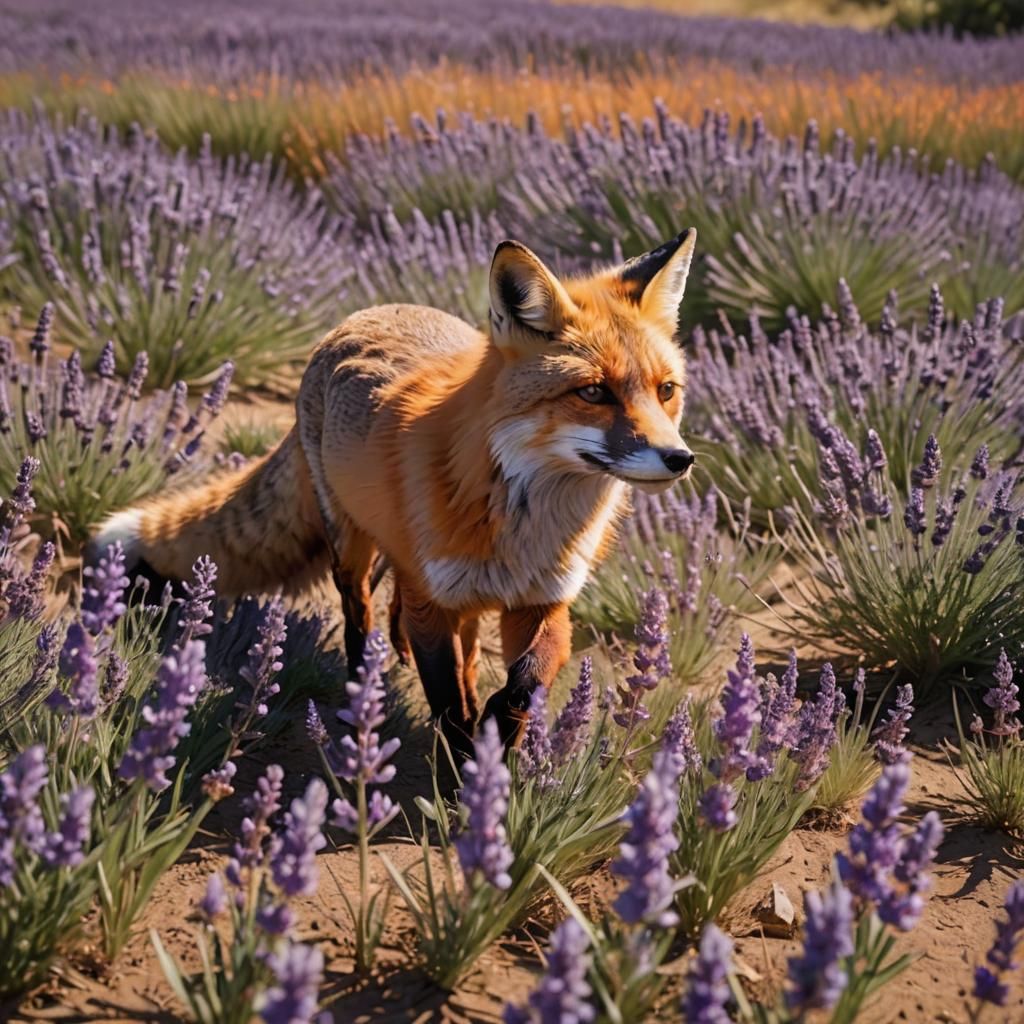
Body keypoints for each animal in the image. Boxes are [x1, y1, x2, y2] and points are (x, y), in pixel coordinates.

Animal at [93, 228, 698, 758]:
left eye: (665, 391)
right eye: (593, 392)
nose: (680, 458)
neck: (525, 527)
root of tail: (364, 314)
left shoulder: (543, 600)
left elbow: (525, 683)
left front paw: (500, 742)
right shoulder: (435, 598)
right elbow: (449, 704)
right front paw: (463, 775)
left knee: (454, 637)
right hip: (350, 545)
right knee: (360, 609)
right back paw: (362, 688)